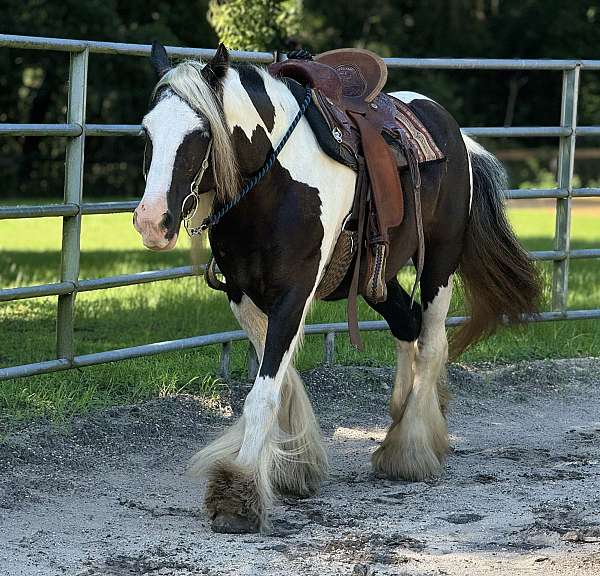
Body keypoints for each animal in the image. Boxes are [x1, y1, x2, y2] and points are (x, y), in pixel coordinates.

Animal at [134, 41, 540, 536]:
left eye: (200, 134)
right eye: (147, 132)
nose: (152, 222)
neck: (275, 183)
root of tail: (457, 135)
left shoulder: (295, 292)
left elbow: (263, 393)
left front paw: (238, 495)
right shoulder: (243, 295)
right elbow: (280, 381)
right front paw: (295, 467)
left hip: (439, 263)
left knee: (431, 341)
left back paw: (409, 449)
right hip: (374, 277)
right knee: (407, 325)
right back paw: (403, 415)